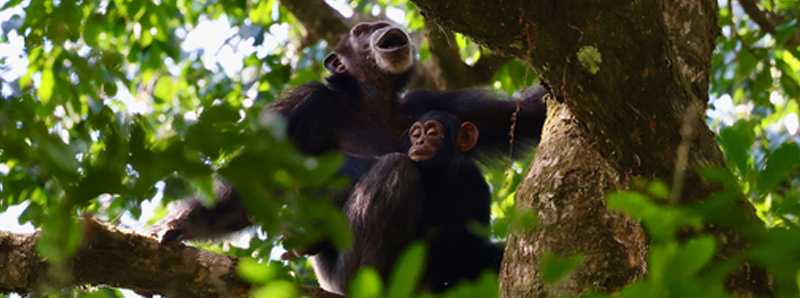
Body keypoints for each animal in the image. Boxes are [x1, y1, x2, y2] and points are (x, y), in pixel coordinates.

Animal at [157, 20, 548, 294]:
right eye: (361, 31)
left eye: (378, 24)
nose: (383, 27)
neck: (371, 100)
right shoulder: (305, 103)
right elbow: (256, 178)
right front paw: (179, 225)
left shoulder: (433, 103)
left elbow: (524, 114)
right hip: (346, 277)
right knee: (397, 169)